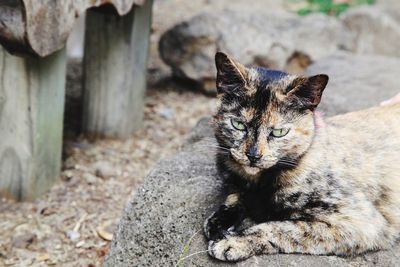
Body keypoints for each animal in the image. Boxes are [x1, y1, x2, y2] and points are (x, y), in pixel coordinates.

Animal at [205, 51, 400, 262]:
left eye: (279, 132)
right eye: (238, 124)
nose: (253, 156)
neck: (258, 182)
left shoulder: (362, 222)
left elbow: (282, 228)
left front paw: (232, 242)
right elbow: (234, 195)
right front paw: (218, 222)